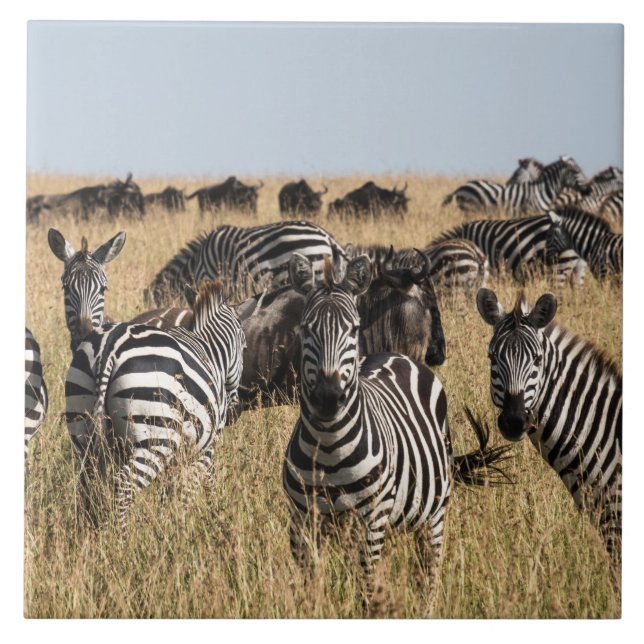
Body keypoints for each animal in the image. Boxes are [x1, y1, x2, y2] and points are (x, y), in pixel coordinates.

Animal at [64, 281, 246, 533]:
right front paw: (189, 524)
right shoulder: (206, 445)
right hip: (155, 437)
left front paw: (168, 525)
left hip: (82, 431)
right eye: (244, 346)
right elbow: (194, 486)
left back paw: (91, 537)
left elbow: (170, 492)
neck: (208, 349)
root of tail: (110, 346)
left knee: (89, 487)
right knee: (123, 487)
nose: (235, 406)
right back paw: (122, 539)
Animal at [283, 253, 511, 607]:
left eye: (354, 329)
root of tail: (397, 355)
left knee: (427, 576)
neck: (329, 445)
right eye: (306, 329)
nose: (328, 398)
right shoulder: (302, 524)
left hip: (432, 517)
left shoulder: (371, 521)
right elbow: (310, 594)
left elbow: (367, 594)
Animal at [442, 155, 588, 217]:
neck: (540, 191)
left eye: (516, 173)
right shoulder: (530, 212)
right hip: (469, 209)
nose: (588, 190)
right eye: (577, 172)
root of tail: (461, 187)